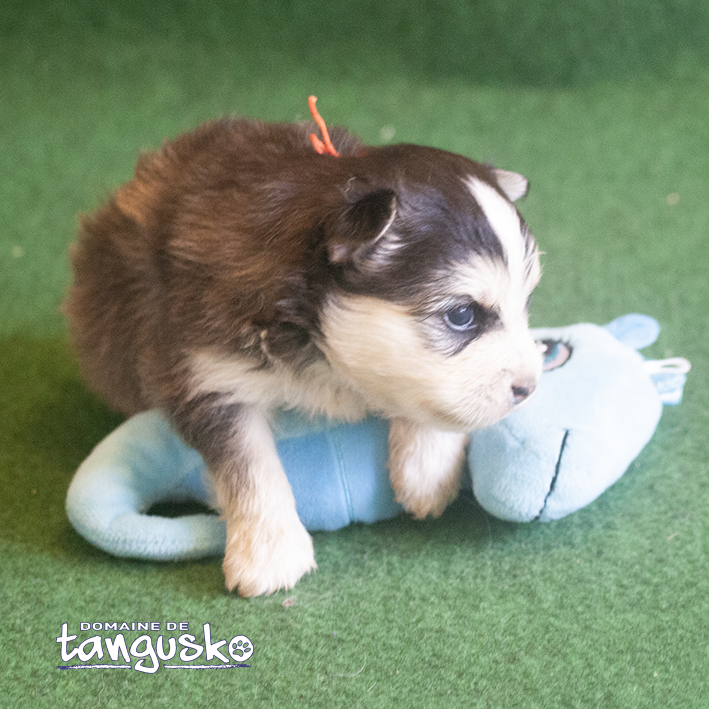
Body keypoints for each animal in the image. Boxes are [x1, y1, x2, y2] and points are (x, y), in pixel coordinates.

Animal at [66, 101, 544, 596]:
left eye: (525, 302)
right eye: (462, 315)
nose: (530, 387)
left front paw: (426, 472)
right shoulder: (200, 369)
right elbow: (250, 462)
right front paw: (268, 550)